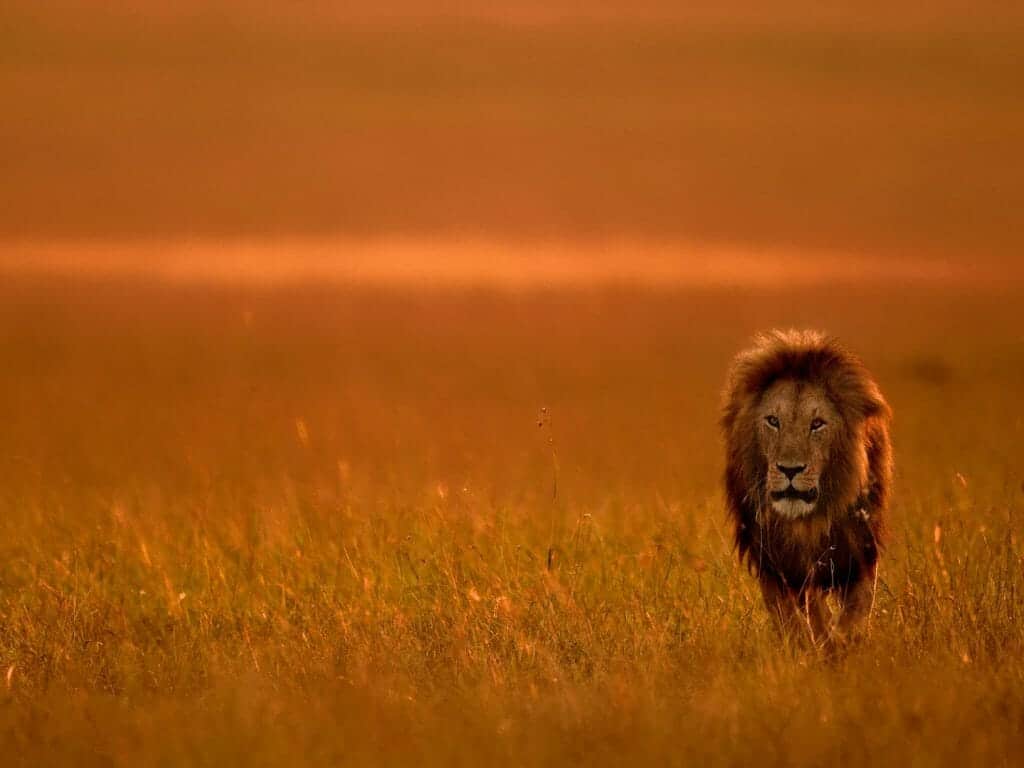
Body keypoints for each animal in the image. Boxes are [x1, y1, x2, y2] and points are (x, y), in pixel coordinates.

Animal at [721, 329, 893, 649]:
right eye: (773, 421)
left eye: (817, 424)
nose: (790, 470)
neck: (807, 523)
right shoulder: (776, 565)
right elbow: (800, 616)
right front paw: (811, 645)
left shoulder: (860, 550)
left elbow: (856, 609)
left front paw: (844, 642)